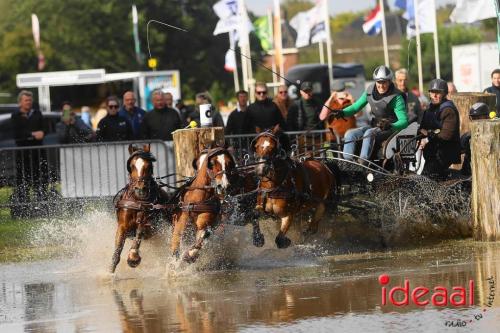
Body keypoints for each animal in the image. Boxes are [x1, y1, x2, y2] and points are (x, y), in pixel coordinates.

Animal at [108, 143, 175, 272]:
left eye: (149, 166)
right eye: (132, 166)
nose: (140, 189)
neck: (137, 201)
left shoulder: (148, 226)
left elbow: (139, 233)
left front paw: (133, 257)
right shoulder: (122, 225)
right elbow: (117, 252)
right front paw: (110, 272)